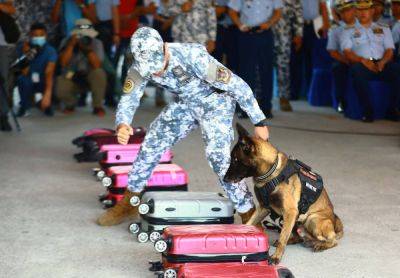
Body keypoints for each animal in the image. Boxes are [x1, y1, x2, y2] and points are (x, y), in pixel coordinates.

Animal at [225, 123, 344, 262]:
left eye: (235, 160)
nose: (224, 178)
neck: (271, 172)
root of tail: (335, 221)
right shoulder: (264, 208)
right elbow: (250, 222)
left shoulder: (290, 212)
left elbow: (283, 237)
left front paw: (276, 256)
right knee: (297, 236)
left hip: (312, 219)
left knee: (333, 240)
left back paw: (320, 244)